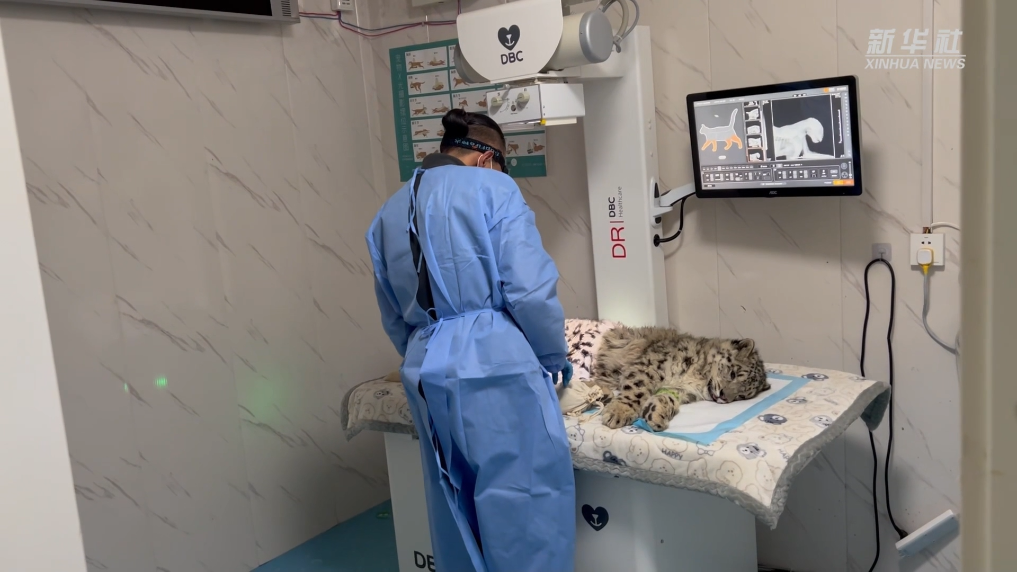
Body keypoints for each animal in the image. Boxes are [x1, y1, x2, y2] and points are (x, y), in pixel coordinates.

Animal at [591, 325, 769, 431]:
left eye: (742, 396)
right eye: (733, 374)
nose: (724, 397)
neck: (696, 379)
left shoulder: (680, 391)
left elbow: (666, 398)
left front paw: (656, 414)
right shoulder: (650, 367)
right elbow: (637, 390)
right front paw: (619, 412)